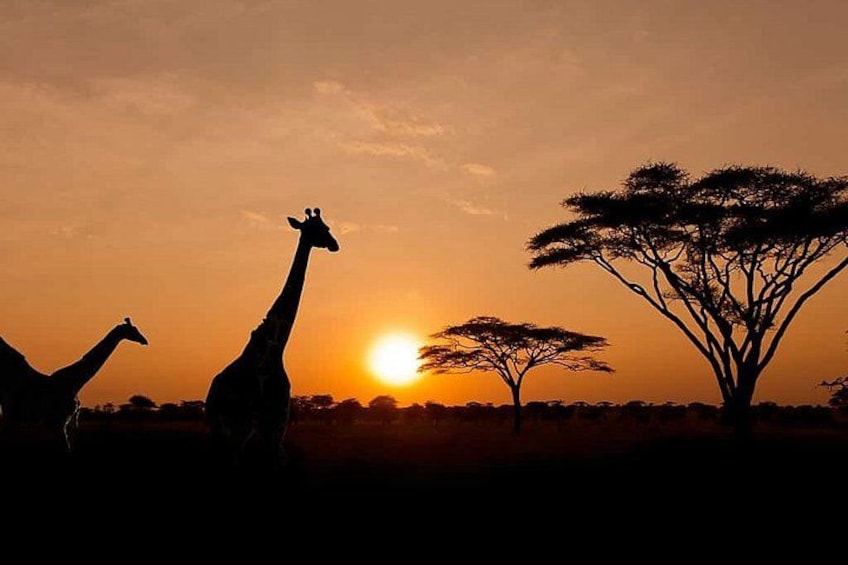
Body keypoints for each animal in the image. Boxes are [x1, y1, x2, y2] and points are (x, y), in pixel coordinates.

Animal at [0, 317, 148, 452]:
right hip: (12, 414)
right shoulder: (58, 421)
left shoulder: (71, 422)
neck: (77, 382)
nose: (145, 341)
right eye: (133, 330)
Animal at [205, 207, 339, 468]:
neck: (274, 350)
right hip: (224, 426)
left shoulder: (276, 425)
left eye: (326, 227)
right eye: (319, 229)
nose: (334, 244)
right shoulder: (261, 425)